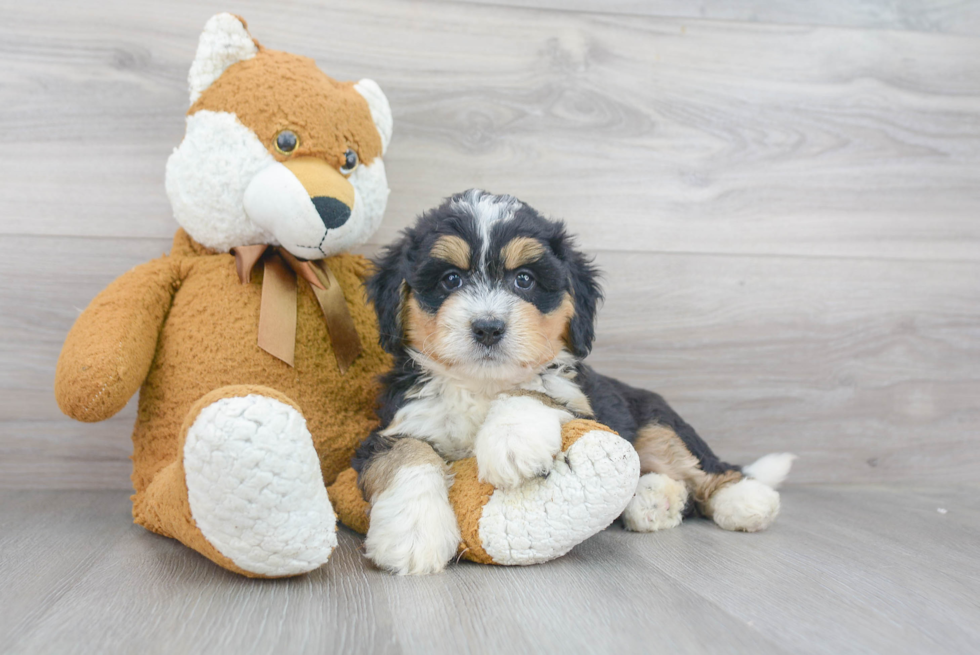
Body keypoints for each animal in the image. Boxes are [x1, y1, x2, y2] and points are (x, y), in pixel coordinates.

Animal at [354, 188, 796, 576]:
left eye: (525, 280)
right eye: (450, 280)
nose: (488, 328)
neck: (482, 384)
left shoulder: (582, 403)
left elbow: (537, 389)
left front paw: (512, 440)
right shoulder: (392, 426)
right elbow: (406, 454)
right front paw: (414, 533)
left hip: (655, 419)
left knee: (703, 466)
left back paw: (744, 498)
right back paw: (653, 501)